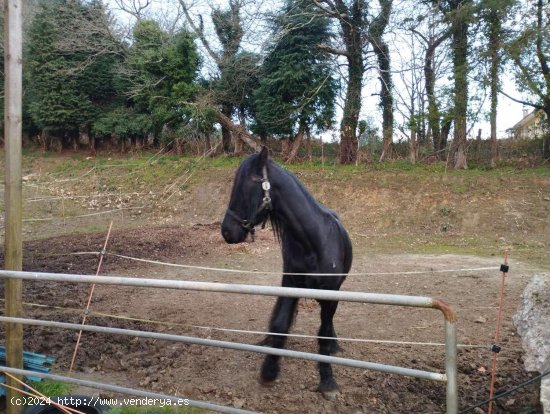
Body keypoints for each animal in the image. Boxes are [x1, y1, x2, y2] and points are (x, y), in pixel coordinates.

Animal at [223, 147, 356, 400]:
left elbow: (323, 334)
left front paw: (328, 382)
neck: (313, 241)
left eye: (249, 183)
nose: (227, 231)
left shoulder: (329, 293)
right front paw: (269, 370)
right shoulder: (291, 284)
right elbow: (280, 323)